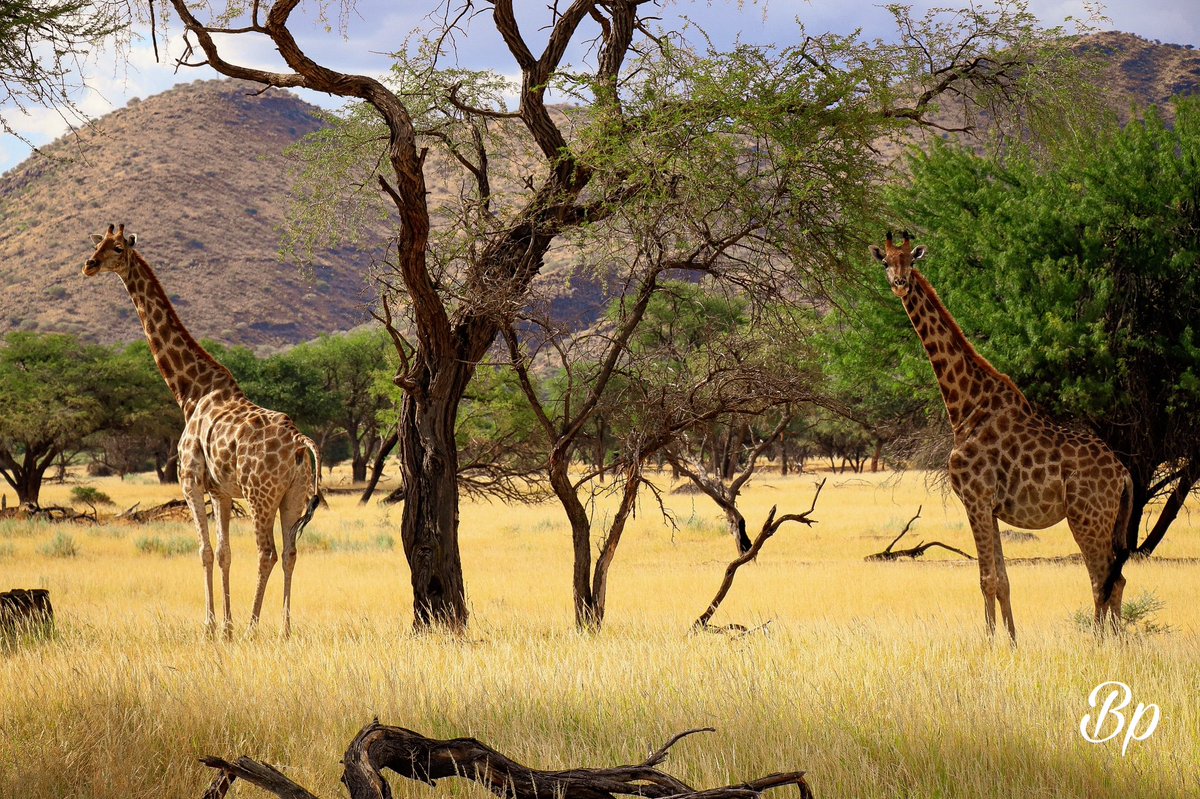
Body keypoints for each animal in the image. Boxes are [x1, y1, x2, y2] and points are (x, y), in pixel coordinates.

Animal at [83, 224, 321, 636]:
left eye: (116, 249)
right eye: (96, 243)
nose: (89, 265)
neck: (190, 392)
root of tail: (299, 442)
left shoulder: (189, 481)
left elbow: (205, 551)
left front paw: (211, 628)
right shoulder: (221, 491)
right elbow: (224, 553)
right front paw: (225, 627)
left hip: (260, 495)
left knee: (268, 552)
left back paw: (253, 628)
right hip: (292, 495)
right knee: (291, 552)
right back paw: (284, 629)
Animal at [870, 231, 1132, 642]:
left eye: (911, 261)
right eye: (885, 261)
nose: (899, 283)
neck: (964, 408)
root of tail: (1123, 475)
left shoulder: (975, 499)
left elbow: (986, 579)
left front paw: (990, 642)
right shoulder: (991, 507)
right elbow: (1004, 580)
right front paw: (1011, 641)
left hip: (1087, 517)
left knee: (1101, 578)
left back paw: (1099, 642)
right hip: (1109, 520)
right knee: (1115, 578)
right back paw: (1115, 643)